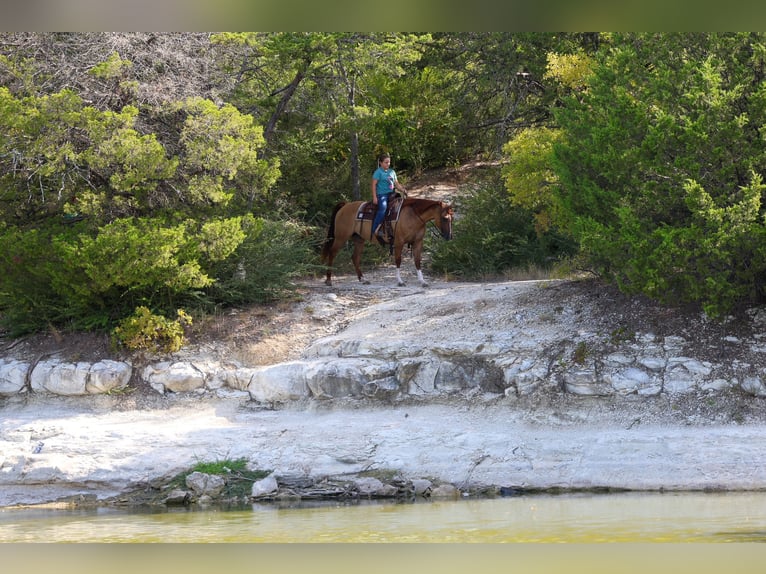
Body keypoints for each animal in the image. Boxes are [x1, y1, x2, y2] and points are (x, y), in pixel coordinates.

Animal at [321, 197, 454, 287]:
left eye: (452, 218)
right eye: (444, 218)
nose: (449, 237)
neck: (413, 215)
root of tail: (345, 205)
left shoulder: (417, 242)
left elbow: (417, 261)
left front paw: (422, 281)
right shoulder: (399, 242)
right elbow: (398, 260)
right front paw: (400, 281)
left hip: (359, 240)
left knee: (355, 257)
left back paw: (363, 279)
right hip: (341, 238)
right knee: (332, 253)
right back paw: (328, 280)